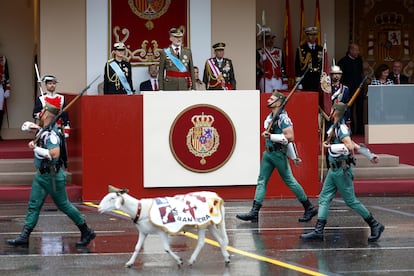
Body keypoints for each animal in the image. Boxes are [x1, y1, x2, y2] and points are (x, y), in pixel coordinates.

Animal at [98, 185, 231, 268]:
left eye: (112, 198)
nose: (99, 208)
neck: (140, 209)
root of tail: (217, 198)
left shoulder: (162, 231)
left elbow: (166, 248)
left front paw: (179, 260)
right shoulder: (143, 232)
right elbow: (136, 248)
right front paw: (130, 263)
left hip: (203, 224)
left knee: (201, 242)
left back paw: (192, 260)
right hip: (210, 224)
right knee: (220, 240)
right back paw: (226, 258)